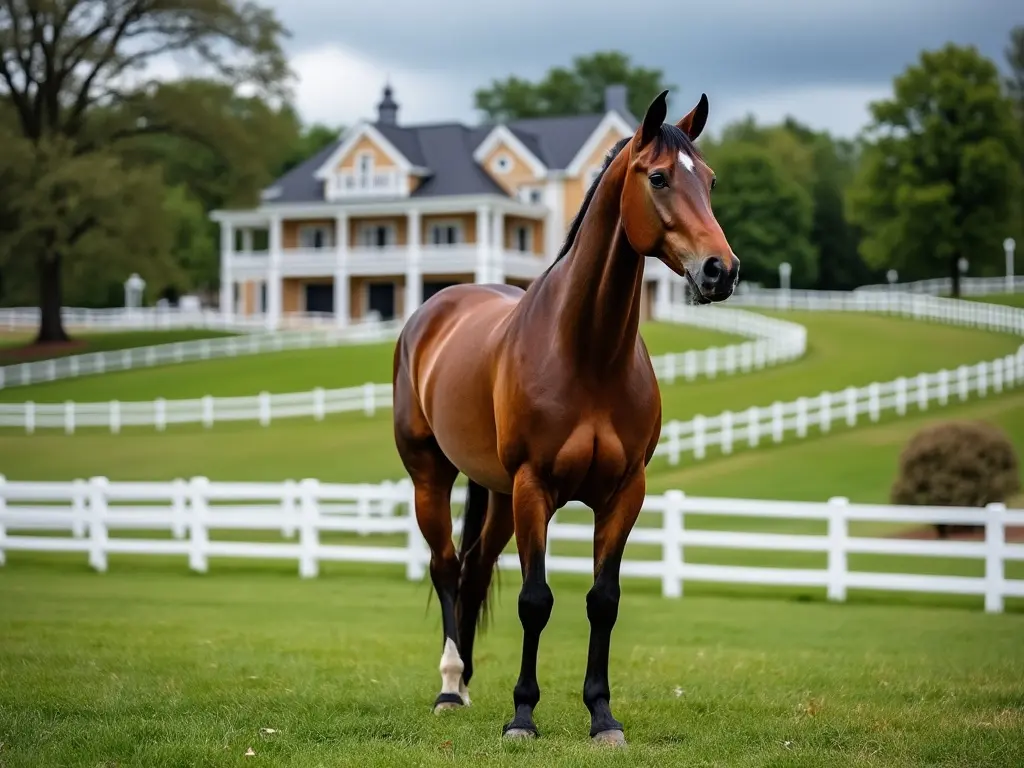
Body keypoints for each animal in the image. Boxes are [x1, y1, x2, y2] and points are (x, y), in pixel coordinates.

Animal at [389, 88, 737, 745]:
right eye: (658, 177)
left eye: (707, 180)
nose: (720, 270)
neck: (587, 354)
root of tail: (438, 305)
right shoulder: (535, 487)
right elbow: (535, 601)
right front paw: (523, 715)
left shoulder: (624, 492)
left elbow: (603, 601)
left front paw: (602, 715)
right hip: (433, 477)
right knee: (446, 568)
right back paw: (449, 686)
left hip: (498, 495)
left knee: (474, 571)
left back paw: (467, 681)